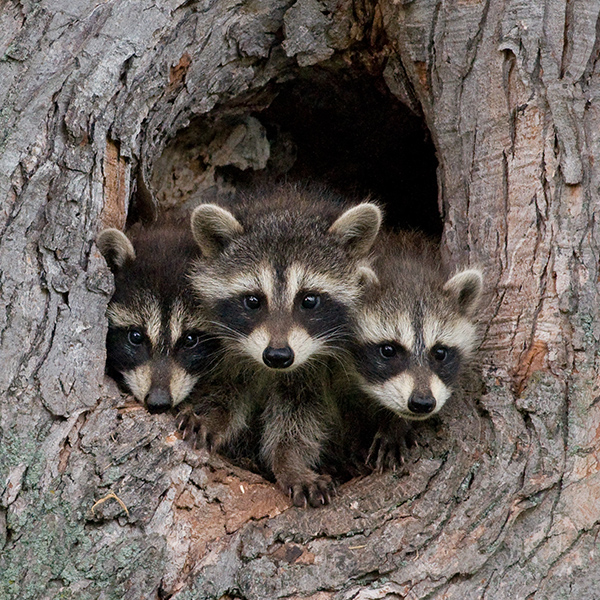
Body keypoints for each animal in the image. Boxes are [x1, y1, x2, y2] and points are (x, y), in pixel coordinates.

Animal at [188, 184, 382, 506]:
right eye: (253, 301)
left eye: (309, 300)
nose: (278, 355)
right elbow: (228, 387)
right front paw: (213, 415)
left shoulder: (314, 369)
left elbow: (299, 417)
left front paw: (290, 463)